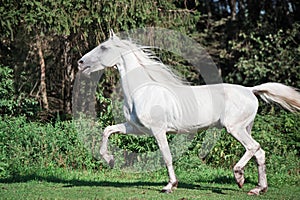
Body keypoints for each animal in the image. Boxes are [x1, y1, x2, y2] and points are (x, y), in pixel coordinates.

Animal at [78, 30, 300, 195]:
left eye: (104, 47)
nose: (80, 63)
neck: (142, 90)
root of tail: (250, 90)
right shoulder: (136, 129)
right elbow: (107, 130)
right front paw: (109, 159)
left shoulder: (158, 131)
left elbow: (166, 156)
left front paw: (169, 186)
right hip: (245, 128)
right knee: (259, 152)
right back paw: (258, 189)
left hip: (234, 128)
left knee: (254, 147)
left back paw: (239, 177)